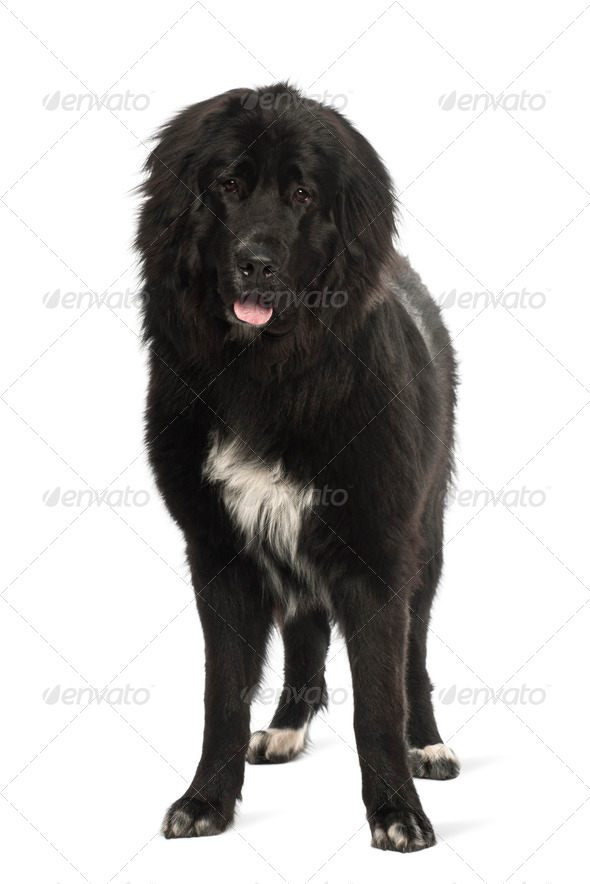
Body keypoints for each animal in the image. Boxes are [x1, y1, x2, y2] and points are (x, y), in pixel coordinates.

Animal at [136, 83, 460, 848]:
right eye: (227, 186)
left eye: (303, 194)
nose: (256, 261)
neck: (270, 376)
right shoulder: (219, 552)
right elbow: (221, 697)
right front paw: (206, 801)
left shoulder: (378, 551)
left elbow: (380, 698)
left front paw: (397, 812)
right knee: (307, 628)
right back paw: (284, 728)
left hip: (426, 539)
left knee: (415, 658)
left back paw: (429, 745)